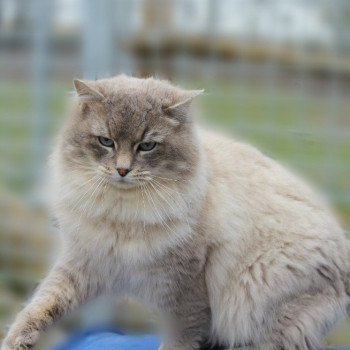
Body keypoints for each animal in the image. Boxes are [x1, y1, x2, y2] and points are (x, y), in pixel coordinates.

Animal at [2, 74, 350, 350]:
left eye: (147, 146)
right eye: (106, 142)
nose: (122, 170)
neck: (123, 211)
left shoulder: (184, 284)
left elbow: (183, 334)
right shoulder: (85, 261)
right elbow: (43, 303)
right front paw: (18, 340)